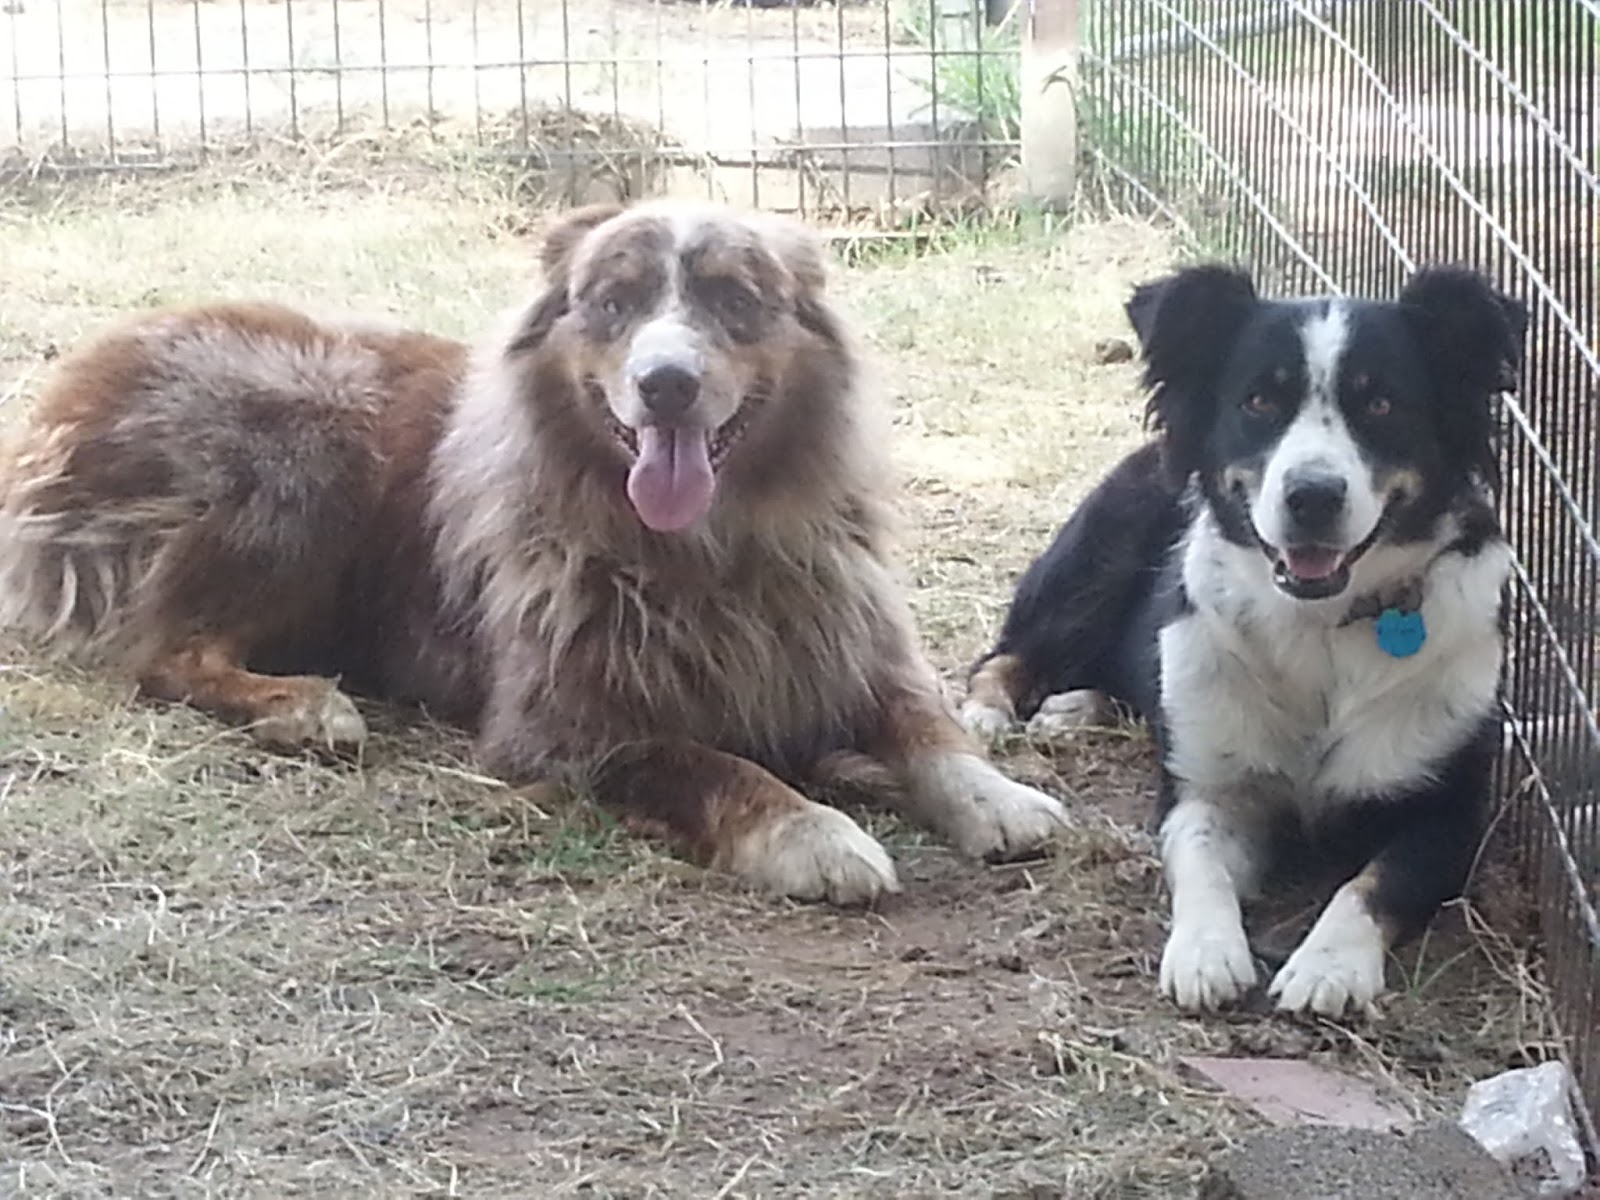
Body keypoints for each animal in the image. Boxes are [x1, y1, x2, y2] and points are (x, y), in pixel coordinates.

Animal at [960, 262, 1523, 1017]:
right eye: (1258, 400)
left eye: (1381, 404)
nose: (1312, 496)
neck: (1322, 626)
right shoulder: (1207, 790)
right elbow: (1201, 860)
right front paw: (1206, 951)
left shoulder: (1448, 811)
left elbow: (1373, 883)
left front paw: (1328, 966)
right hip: (1093, 563)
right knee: (1007, 655)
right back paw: (991, 715)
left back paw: (1076, 708)